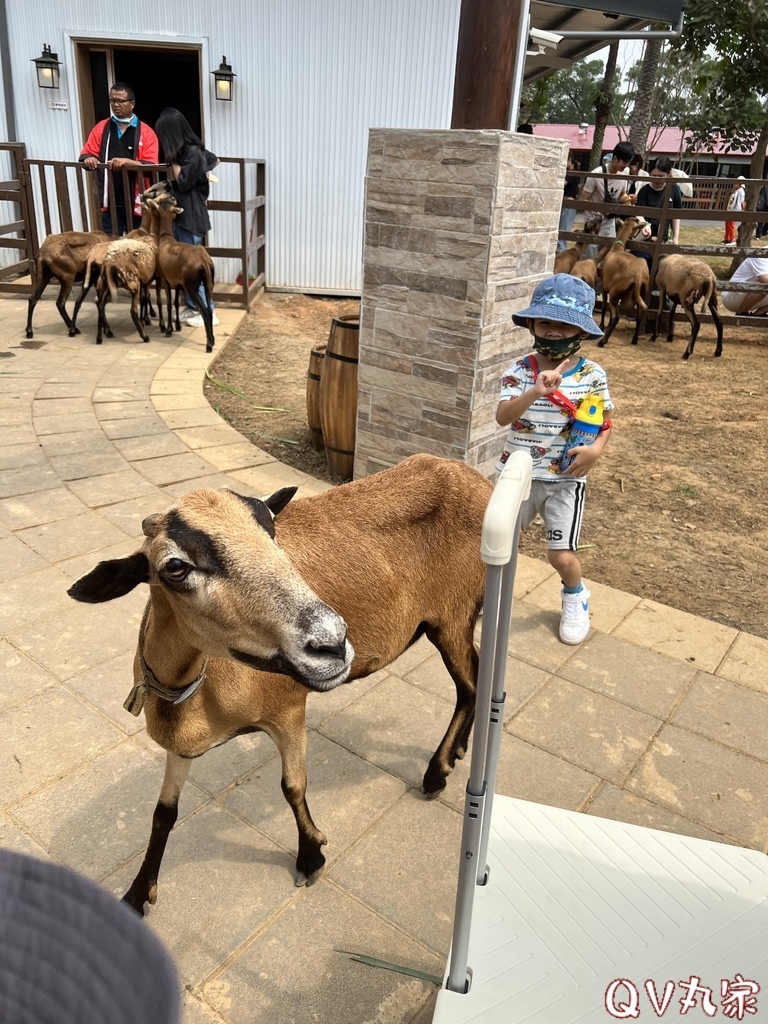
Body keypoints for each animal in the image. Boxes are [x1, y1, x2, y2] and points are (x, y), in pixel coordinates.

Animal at [66, 452, 487, 917]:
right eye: (174, 567)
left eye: (272, 530)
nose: (332, 642)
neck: (193, 688)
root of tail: (468, 474)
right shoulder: (182, 744)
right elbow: (163, 813)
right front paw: (138, 893)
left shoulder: (288, 710)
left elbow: (292, 786)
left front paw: (311, 855)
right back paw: (458, 752)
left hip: (454, 611)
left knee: (470, 685)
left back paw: (437, 772)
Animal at [593, 216, 651, 348]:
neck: (616, 248)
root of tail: (638, 275)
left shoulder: (604, 286)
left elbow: (604, 307)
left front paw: (602, 326)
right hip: (641, 294)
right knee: (639, 316)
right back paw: (634, 339)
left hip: (615, 293)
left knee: (617, 317)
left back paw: (602, 341)